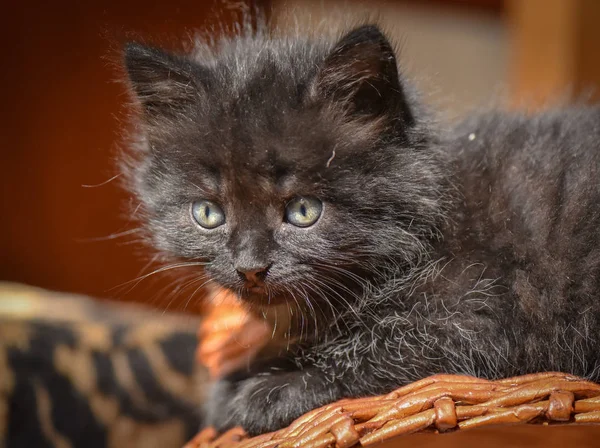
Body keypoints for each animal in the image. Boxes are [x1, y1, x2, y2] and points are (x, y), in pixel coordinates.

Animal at [120, 22, 600, 436]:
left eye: (303, 210)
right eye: (208, 213)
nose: (250, 267)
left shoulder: (475, 312)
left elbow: (386, 349)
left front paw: (269, 392)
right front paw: (238, 377)